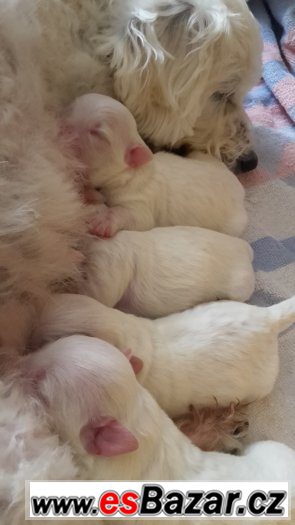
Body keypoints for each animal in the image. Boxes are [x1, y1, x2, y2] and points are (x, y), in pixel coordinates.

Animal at [66, 94, 247, 237]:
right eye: (71, 108)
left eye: (97, 133)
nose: (63, 128)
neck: (128, 172)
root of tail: (237, 184)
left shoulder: (140, 199)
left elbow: (136, 217)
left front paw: (104, 220)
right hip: (203, 157)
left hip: (234, 225)